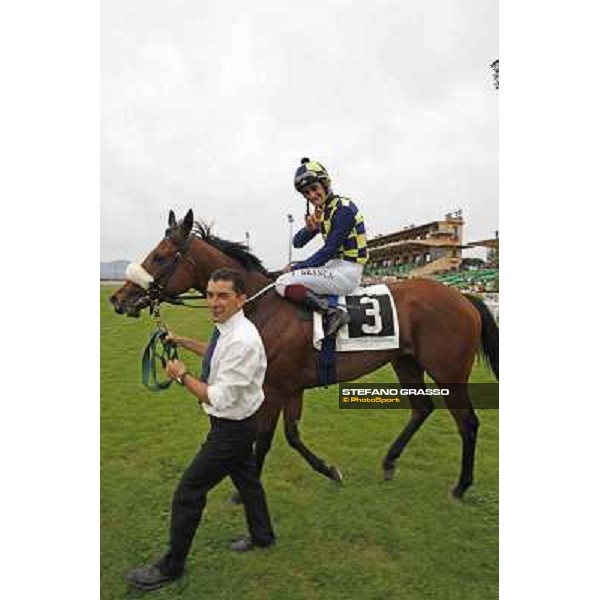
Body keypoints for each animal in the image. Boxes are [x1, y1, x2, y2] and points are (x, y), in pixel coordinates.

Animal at [110, 209, 500, 500]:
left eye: (159, 256)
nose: (118, 298)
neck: (262, 305)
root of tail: (464, 297)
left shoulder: (274, 388)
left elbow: (265, 439)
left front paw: (243, 493)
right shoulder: (291, 387)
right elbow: (293, 436)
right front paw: (329, 469)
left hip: (449, 371)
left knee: (467, 423)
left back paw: (461, 485)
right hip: (406, 361)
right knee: (422, 409)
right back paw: (390, 462)